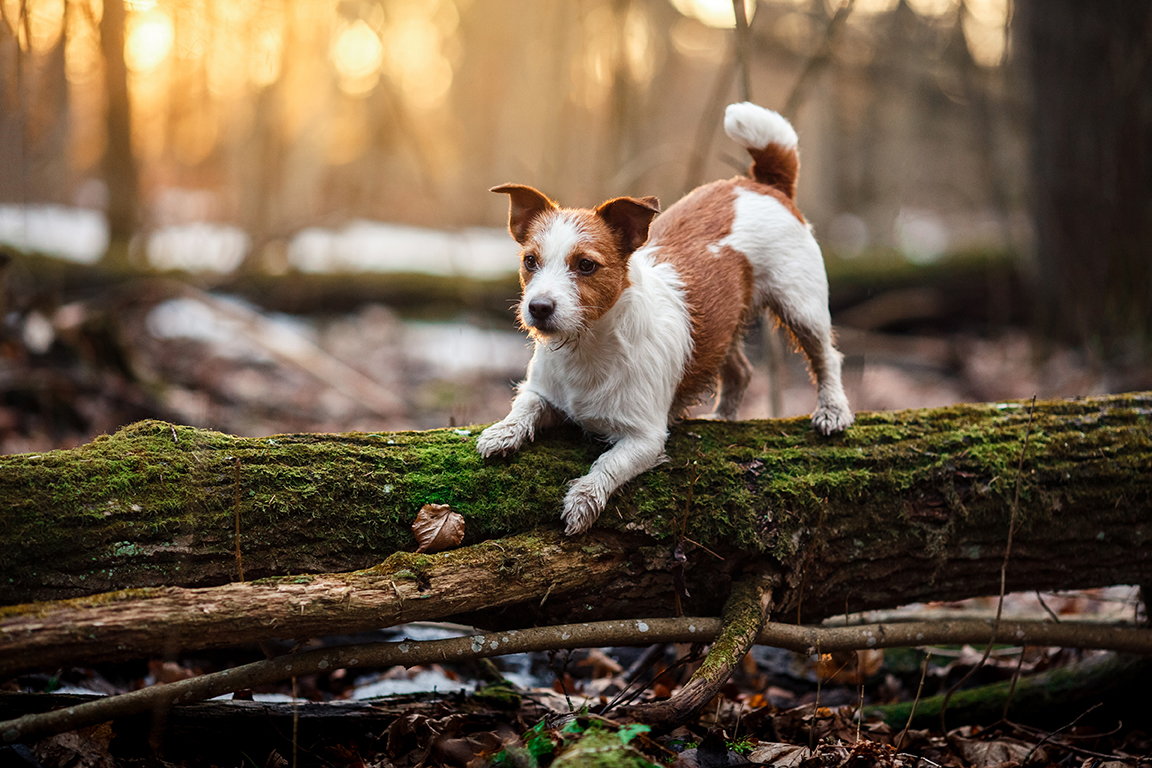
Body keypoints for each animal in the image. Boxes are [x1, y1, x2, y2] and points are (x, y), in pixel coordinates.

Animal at [476, 100, 857, 534]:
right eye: (530, 261)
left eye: (586, 265)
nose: (538, 308)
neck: (587, 347)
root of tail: (764, 184)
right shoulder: (541, 391)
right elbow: (523, 408)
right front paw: (502, 433)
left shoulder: (644, 438)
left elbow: (608, 464)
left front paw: (583, 500)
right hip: (722, 323)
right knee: (741, 371)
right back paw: (723, 418)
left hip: (801, 304)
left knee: (826, 356)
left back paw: (832, 410)